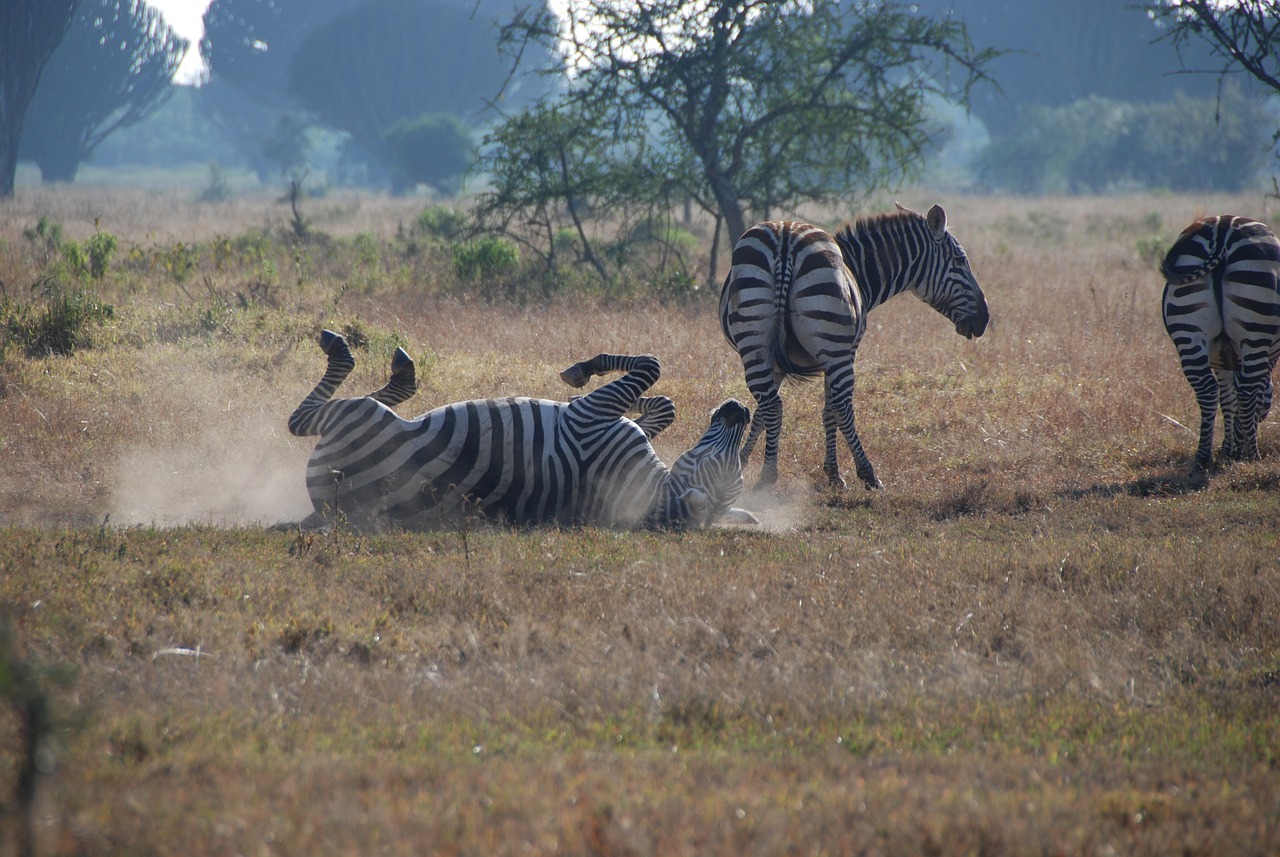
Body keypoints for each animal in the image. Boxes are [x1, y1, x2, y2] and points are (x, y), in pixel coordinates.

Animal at [285, 330, 752, 529]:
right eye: (729, 464)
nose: (741, 409)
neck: (645, 491)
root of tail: (325, 509)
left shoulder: (589, 416)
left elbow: (651, 365)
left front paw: (580, 370)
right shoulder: (601, 417)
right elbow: (663, 404)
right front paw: (641, 408)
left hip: (356, 418)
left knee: (302, 419)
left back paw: (347, 348)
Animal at [721, 202, 988, 493]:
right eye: (960, 260)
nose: (984, 319)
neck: (858, 272)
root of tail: (785, 239)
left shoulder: (777, 363)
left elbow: (760, 413)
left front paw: (741, 459)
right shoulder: (845, 351)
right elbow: (829, 411)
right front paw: (834, 474)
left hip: (755, 340)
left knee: (772, 404)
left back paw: (768, 474)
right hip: (834, 347)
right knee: (842, 406)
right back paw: (868, 473)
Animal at [1162, 214, 1280, 470]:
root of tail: (1223, 228)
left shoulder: (1221, 358)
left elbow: (1227, 398)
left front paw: (1228, 449)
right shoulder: (1268, 356)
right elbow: (1250, 393)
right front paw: (1238, 449)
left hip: (1188, 330)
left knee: (1207, 389)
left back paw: (1202, 457)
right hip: (1255, 328)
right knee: (1247, 391)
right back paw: (1252, 455)